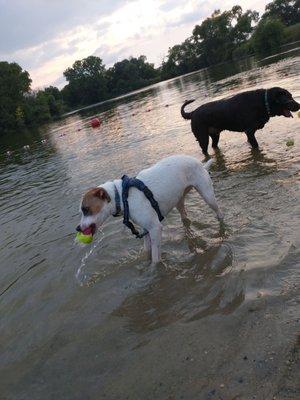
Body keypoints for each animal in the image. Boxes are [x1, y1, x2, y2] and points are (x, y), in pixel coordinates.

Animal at [77, 155, 223, 264]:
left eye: (86, 209)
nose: (77, 228)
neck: (123, 196)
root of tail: (199, 163)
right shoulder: (145, 229)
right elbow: (146, 250)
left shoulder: (155, 229)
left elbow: (155, 259)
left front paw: (154, 270)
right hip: (179, 201)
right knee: (185, 216)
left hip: (208, 196)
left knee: (219, 212)